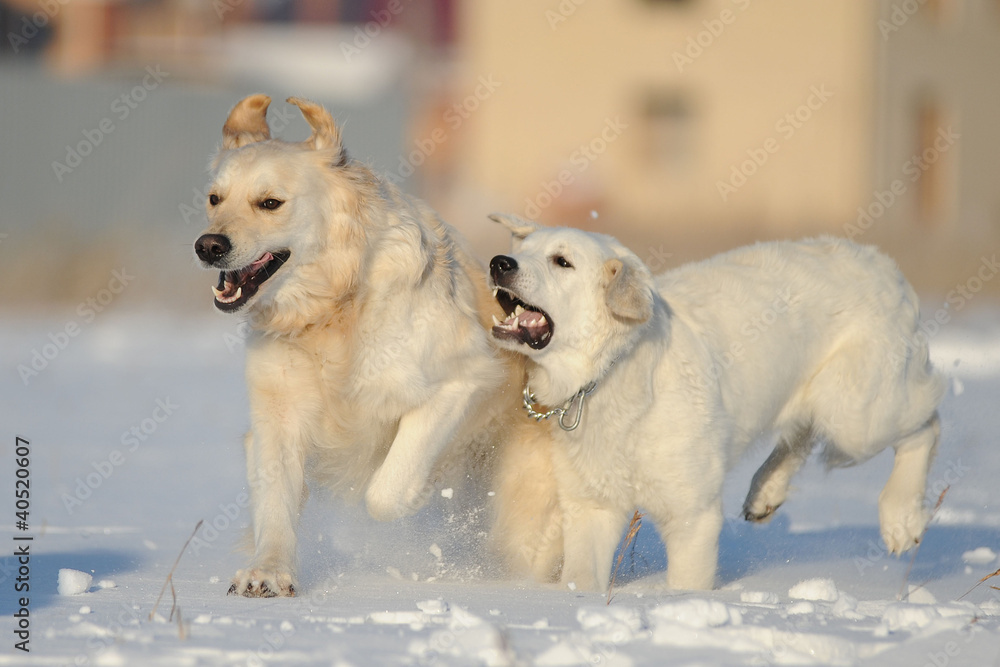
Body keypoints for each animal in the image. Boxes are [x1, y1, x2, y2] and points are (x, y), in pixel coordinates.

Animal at [484, 215, 944, 588]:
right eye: (521, 250)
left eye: (562, 261)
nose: (499, 262)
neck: (608, 373)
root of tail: (880, 262)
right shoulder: (590, 508)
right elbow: (581, 581)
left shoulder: (693, 514)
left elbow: (685, 585)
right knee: (803, 432)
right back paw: (765, 492)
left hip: (856, 415)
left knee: (928, 419)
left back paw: (901, 517)